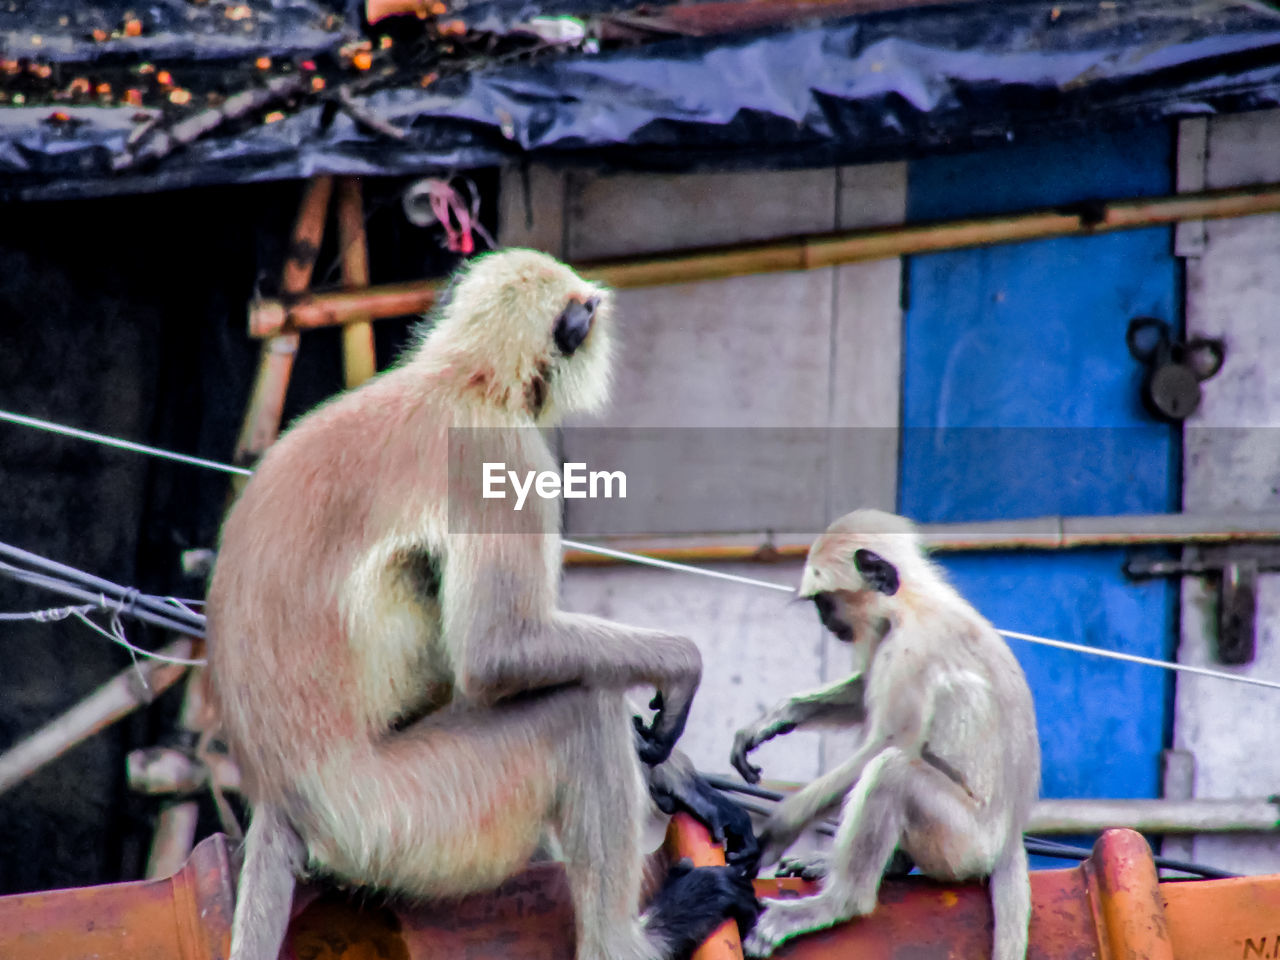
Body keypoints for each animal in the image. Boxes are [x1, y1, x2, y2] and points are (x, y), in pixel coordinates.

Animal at [203, 249, 752, 960]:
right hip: (405, 818)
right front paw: (682, 666)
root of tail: (277, 799)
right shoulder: (499, 451)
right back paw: (626, 941)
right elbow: (499, 651)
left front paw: (676, 778)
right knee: (577, 706)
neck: (460, 379)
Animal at [732, 512, 1039, 960]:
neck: (914, 600)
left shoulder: (910, 648)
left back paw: (838, 903)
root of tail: (1009, 837)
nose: (825, 620)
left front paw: (775, 831)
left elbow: (889, 743)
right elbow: (864, 693)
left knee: (893, 771)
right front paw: (778, 716)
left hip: (965, 842)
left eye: (825, 602)